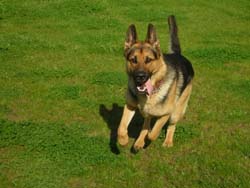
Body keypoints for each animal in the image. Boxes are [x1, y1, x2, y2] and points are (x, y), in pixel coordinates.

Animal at [118, 15, 194, 151]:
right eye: (133, 60)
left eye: (148, 60)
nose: (140, 77)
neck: (149, 93)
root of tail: (178, 55)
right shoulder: (130, 106)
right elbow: (121, 128)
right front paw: (123, 140)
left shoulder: (166, 113)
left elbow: (154, 133)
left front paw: (149, 136)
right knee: (146, 121)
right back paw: (139, 141)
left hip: (176, 112)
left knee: (171, 126)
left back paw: (168, 141)